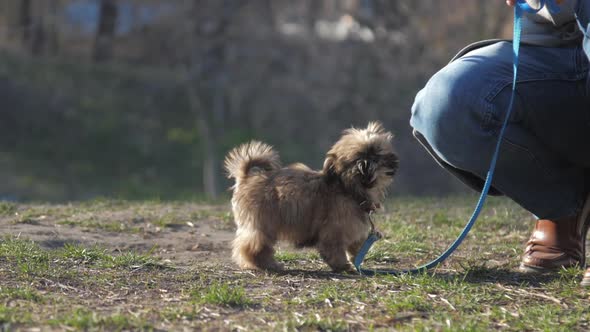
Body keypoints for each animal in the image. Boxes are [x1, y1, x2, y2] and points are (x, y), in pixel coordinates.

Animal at [224, 122, 400, 272]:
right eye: (356, 158)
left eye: (376, 151)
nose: (365, 163)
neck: (348, 188)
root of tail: (246, 177)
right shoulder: (333, 232)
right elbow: (335, 250)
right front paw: (343, 266)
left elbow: (355, 248)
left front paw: (355, 261)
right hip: (262, 225)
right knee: (253, 247)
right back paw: (267, 265)